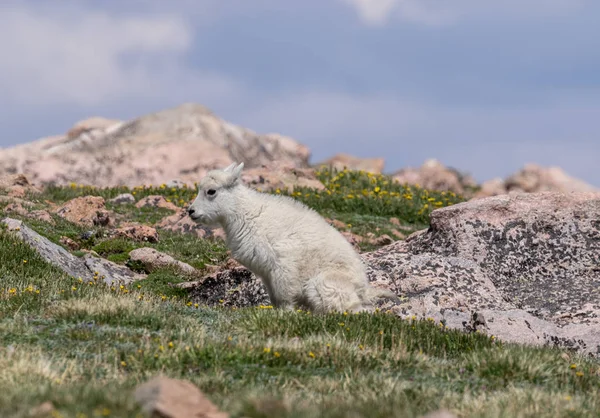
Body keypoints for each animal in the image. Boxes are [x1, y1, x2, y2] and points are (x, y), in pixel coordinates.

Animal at [188, 163, 398, 314]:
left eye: (211, 191)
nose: (191, 211)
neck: (245, 213)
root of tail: (365, 290)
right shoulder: (266, 272)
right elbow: (274, 297)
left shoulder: (284, 261)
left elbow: (285, 295)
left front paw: (287, 314)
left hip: (323, 283)